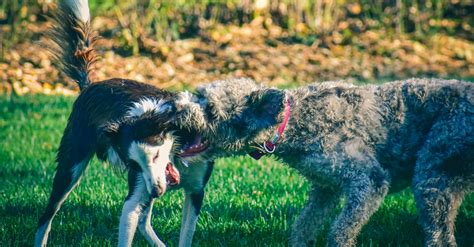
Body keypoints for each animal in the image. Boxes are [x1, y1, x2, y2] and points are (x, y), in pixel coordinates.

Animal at [33, 0, 185, 246]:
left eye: (155, 156)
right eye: (135, 164)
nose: (156, 192)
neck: (141, 115)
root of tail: (89, 86)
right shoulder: (136, 190)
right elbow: (129, 221)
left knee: (144, 221)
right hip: (70, 167)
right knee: (46, 215)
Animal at [175, 78, 474, 246]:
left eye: (210, 109)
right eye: (197, 94)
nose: (176, 107)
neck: (292, 122)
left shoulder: (369, 182)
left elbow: (340, 231)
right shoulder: (324, 188)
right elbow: (303, 226)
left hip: (432, 178)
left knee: (440, 236)